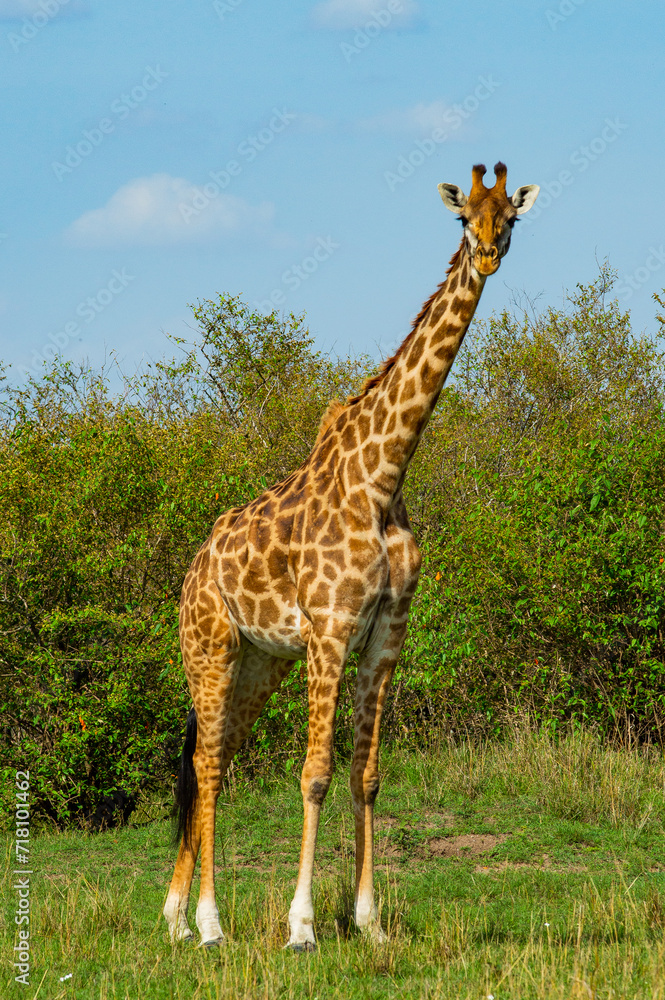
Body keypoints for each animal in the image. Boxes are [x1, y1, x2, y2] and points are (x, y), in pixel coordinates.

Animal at [163, 162, 539, 949]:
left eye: (511, 217)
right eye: (464, 219)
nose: (489, 255)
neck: (384, 476)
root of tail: (192, 570)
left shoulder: (386, 634)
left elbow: (366, 773)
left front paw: (369, 922)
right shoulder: (330, 630)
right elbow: (315, 773)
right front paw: (302, 925)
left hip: (258, 663)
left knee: (213, 758)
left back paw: (176, 916)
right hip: (209, 647)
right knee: (207, 764)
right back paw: (209, 924)